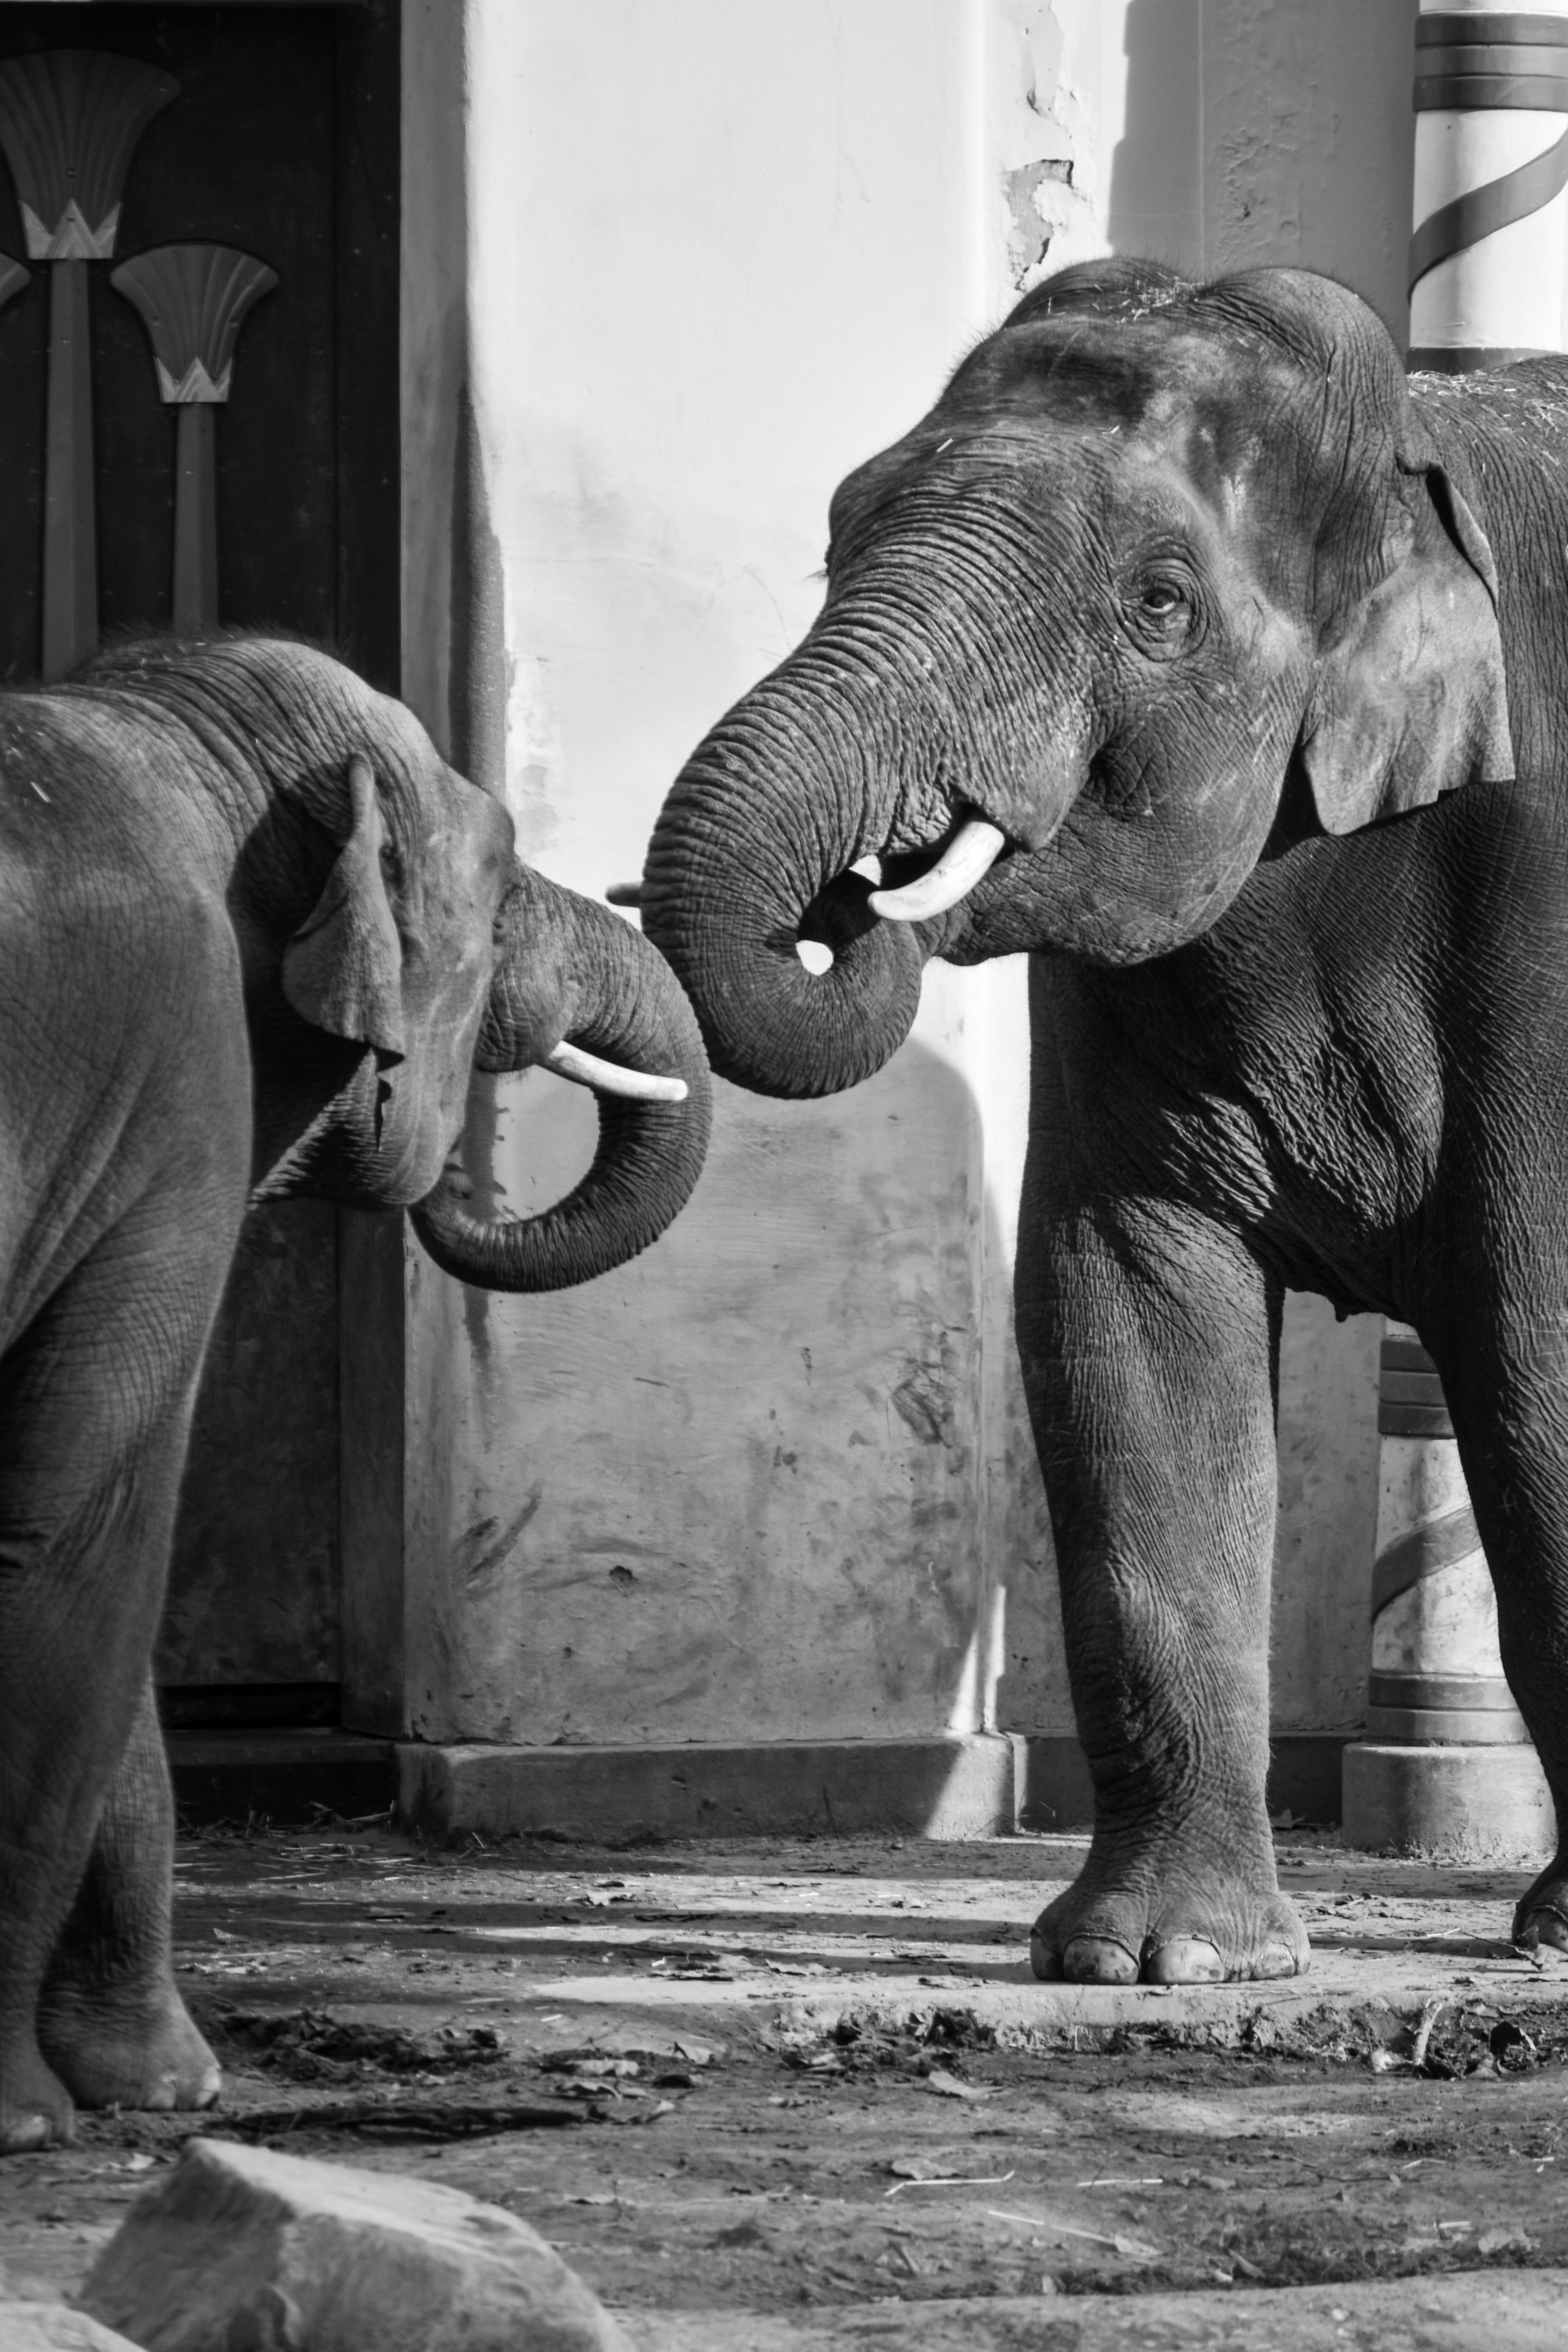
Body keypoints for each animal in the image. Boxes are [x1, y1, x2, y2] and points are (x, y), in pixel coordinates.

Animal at [0, 633, 710, 2151]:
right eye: (502, 884)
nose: (457, 1184)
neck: (169, 722)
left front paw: (161, 2085)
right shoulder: (173, 1092)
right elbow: (86, 1531)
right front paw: (32, 2115)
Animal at [641, 256, 1568, 1987]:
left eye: (1160, 603)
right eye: (838, 532)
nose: (864, 890)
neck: (1414, 449)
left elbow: (1536, 1337)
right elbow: (1119, 1315)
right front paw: (1160, 1962)